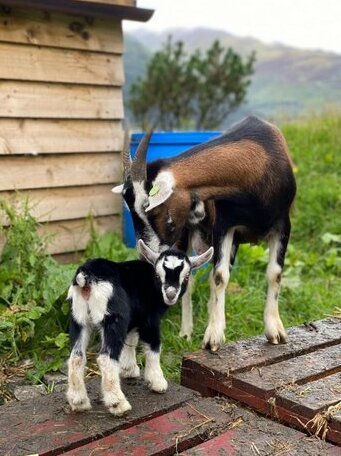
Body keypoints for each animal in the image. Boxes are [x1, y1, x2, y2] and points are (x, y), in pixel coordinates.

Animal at [65, 240, 211, 416]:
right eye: (158, 275)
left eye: (186, 276)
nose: (170, 295)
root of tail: (86, 276)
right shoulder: (150, 319)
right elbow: (154, 346)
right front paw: (157, 382)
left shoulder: (134, 318)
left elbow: (131, 340)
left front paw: (129, 370)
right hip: (113, 319)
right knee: (106, 358)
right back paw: (118, 404)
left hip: (78, 318)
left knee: (76, 356)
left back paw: (78, 401)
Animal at [113, 116, 294, 350]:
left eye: (151, 208)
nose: (145, 255)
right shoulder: (224, 226)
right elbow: (219, 277)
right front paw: (214, 335)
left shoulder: (282, 225)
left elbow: (274, 273)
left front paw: (275, 331)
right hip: (184, 235)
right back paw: (186, 332)